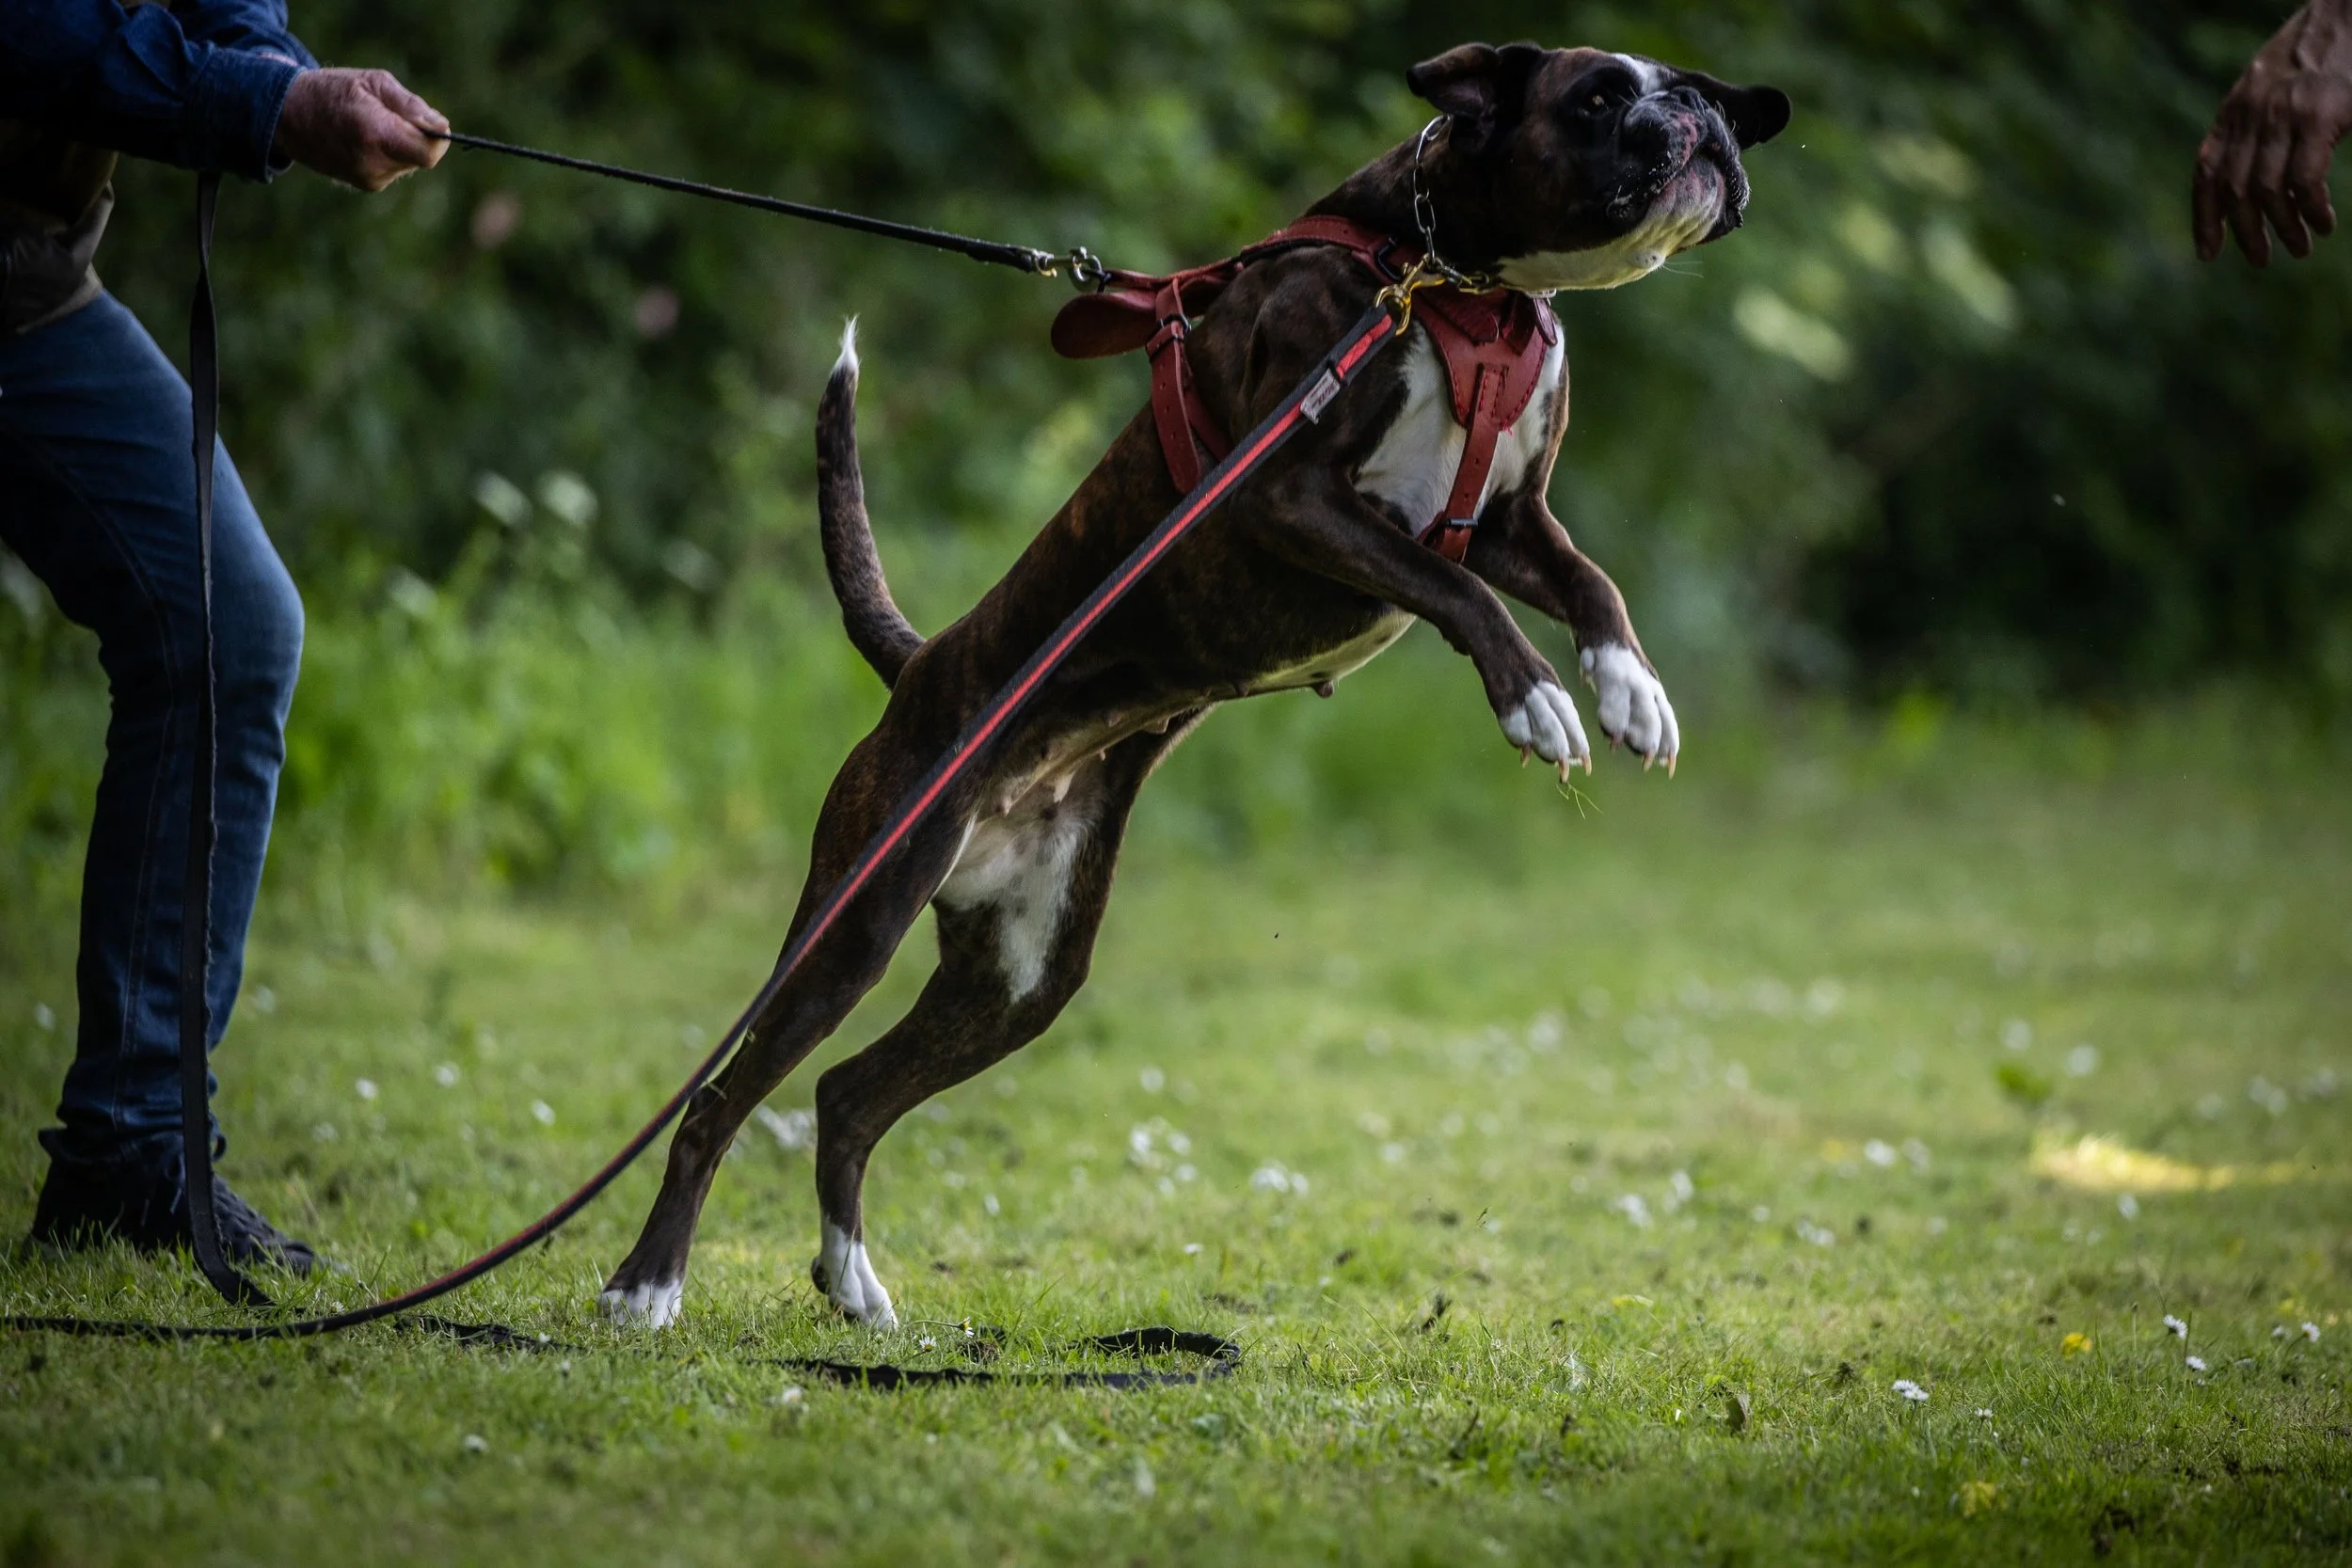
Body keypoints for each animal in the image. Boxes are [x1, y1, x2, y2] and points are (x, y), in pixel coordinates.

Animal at [602, 42, 1789, 1328]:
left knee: (847, 1095)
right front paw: (1536, 699)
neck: (1449, 277)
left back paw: (853, 1281)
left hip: (1022, 975)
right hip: (857, 919)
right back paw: (647, 1285)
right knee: (719, 1099)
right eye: (1599, 97)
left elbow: (1587, 581)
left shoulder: (1511, 518)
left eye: (1685, 85)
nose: (1699, 117)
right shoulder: (1291, 494)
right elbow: (1456, 589)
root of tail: (919, 663)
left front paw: (1629, 688)